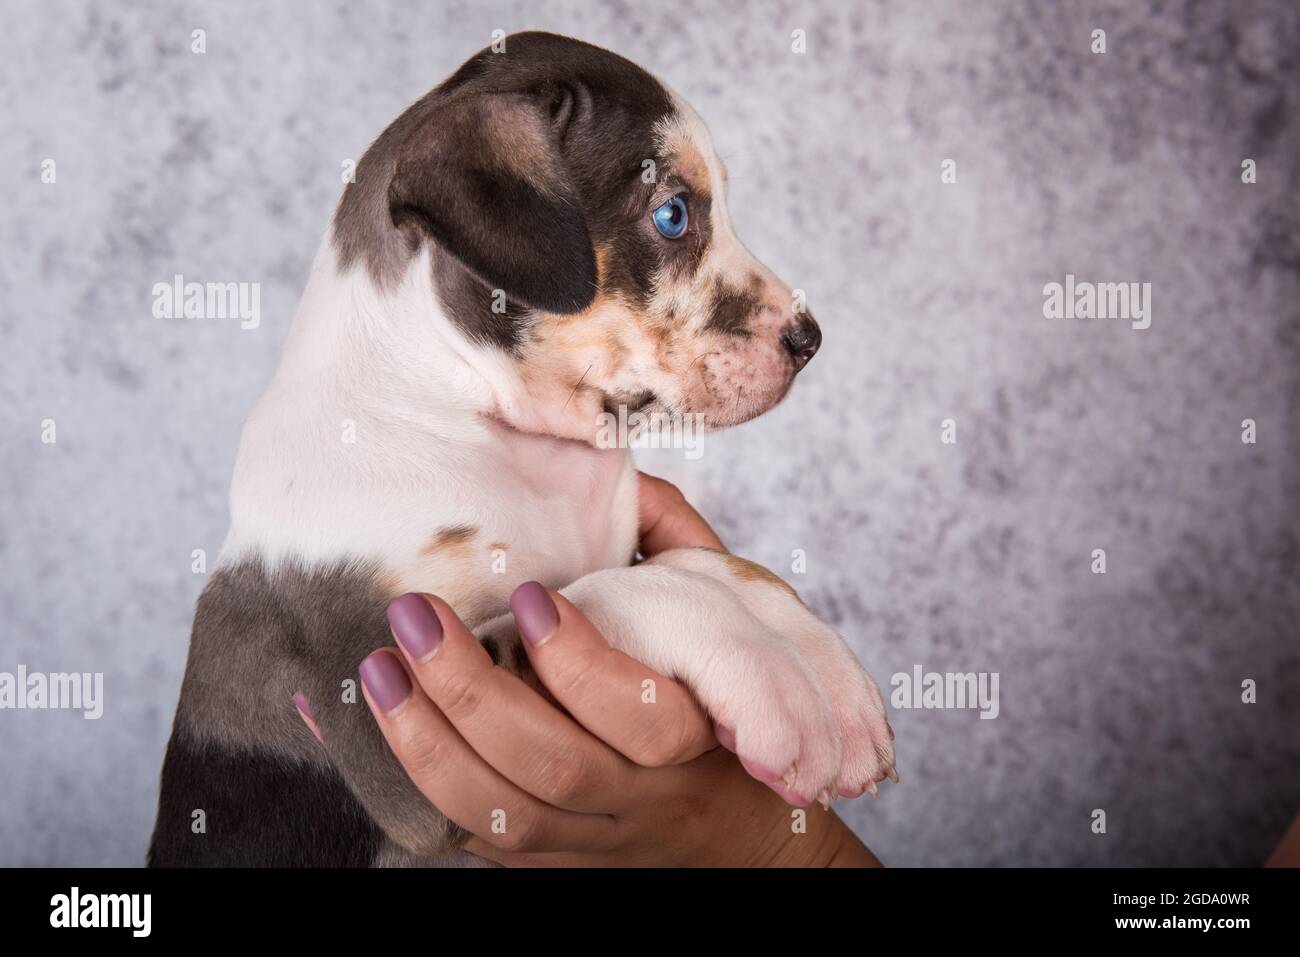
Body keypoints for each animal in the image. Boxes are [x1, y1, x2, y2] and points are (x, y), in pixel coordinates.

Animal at [144, 31, 894, 868]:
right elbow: (592, 594)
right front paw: (773, 680)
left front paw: (820, 665)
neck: (488, 421)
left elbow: (692, 561)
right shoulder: (389, 704)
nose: (809, 340)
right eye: (672, 215)